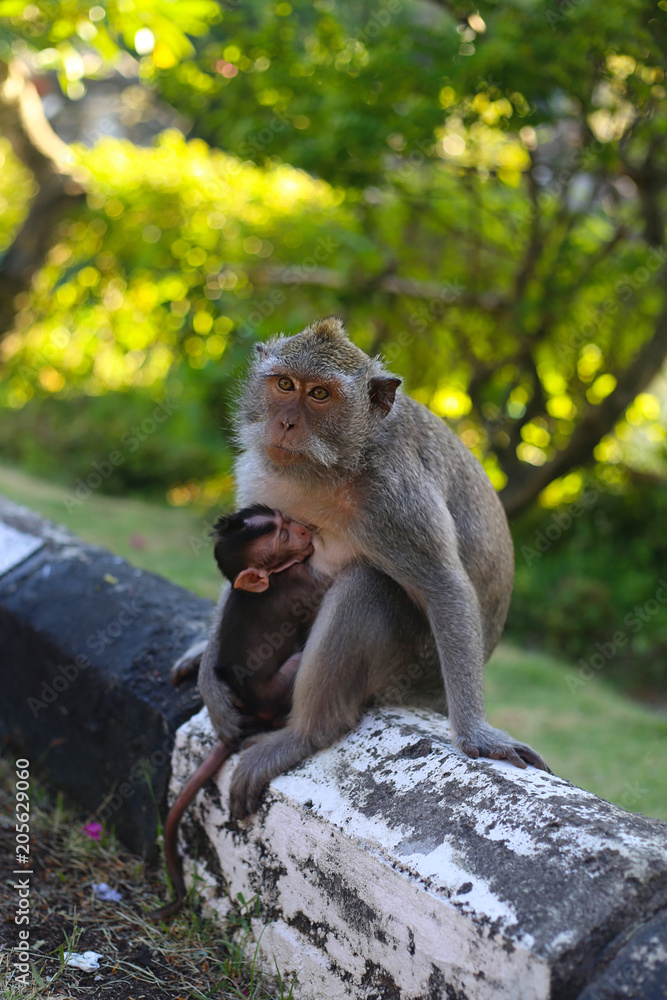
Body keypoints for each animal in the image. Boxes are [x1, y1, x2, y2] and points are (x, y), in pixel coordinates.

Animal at [151, 504, 320, 916]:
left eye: (284, 521)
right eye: (282, 536)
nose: (304, 530)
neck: (274, 577)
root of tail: (253, 710)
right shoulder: (302, 583)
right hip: (275, 692)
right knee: (297, 663)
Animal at [196, 316, 552, 816]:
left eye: (319, 394)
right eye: (285, 384)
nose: (284, 423)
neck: (336, 463)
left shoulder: (396, 497)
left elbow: (444, 586)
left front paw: (477, 733)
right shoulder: (261, 474)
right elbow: (239, 580)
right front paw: (209, 677)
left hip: (407, 672)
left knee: (365, 584)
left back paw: (307, 733)